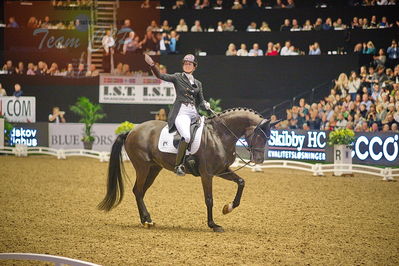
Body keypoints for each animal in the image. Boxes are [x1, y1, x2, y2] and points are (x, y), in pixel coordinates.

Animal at [97, 107, 278, 232]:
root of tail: (133, 130)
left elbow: (241, 182)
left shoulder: (221, 170)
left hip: (154, 168)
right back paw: (146, 220)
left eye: (269, 137)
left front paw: (228, 208)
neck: (219, 135)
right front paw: (213, 225)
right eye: (259, 135)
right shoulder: (207, 174)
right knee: (138, 190)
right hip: (142, 167)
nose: (259, 160)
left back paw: (146, 220)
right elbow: (209, 199)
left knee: (139, 191)